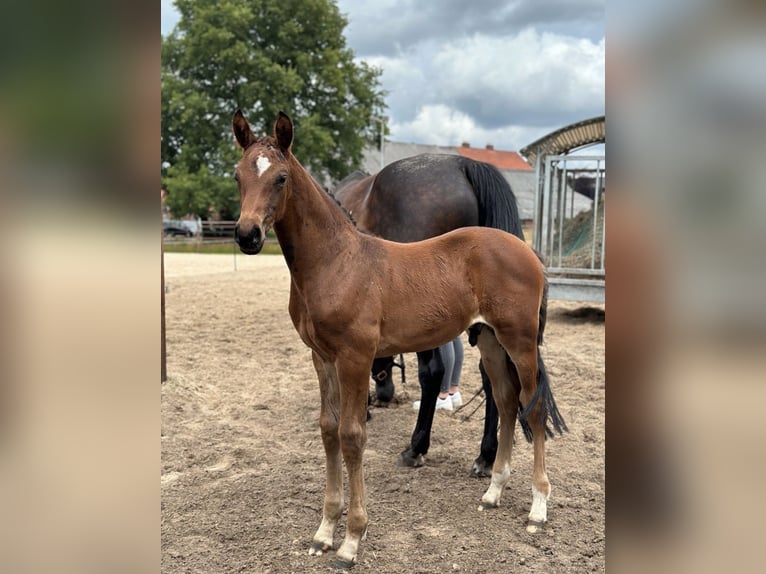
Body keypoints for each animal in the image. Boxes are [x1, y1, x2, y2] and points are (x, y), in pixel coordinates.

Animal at [336, 154, 528, 476]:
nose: (384, 394)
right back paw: (487, 455)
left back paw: (417, 447)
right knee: (493, 376)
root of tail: (464, 164)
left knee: (433, 371)